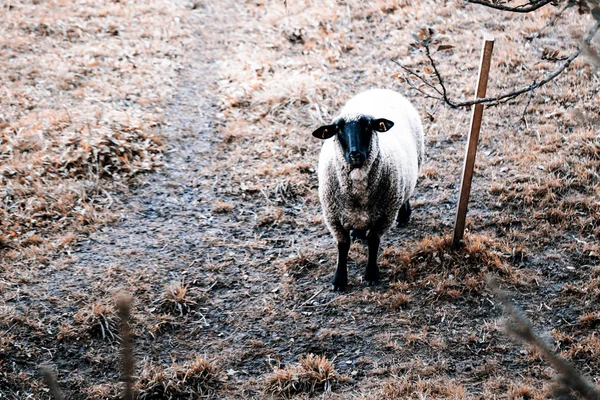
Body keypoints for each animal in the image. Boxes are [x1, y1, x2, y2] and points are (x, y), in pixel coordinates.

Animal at [312, 88, 424, 290]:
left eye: (368, 126)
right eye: (338, 129)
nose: (355, 153)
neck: (358, 194)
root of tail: (379, 89)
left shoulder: (385, 216)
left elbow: (373, 242)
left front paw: (371, 274)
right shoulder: (333, 218)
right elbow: (343, 246)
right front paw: (339, 279)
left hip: (413, 166)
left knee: (407, 192)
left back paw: (404, 215)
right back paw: (358, 232)